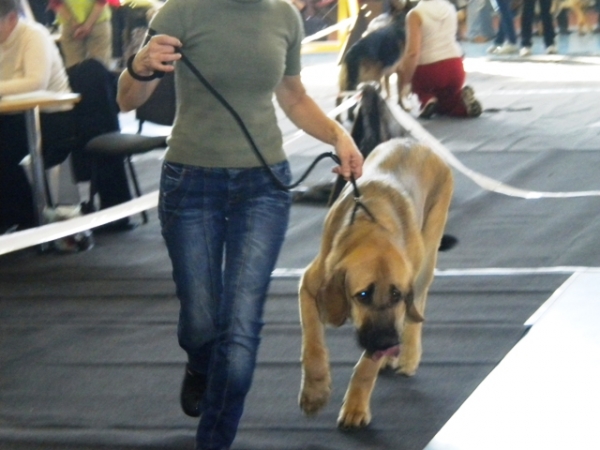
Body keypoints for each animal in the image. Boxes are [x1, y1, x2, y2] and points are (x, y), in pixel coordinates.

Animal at [298, 137, 452, 428]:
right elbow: (312, 343)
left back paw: (408, 355)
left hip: (427, 257)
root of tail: (413, 141)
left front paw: (356, 406)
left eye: (396, 295)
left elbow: (365, 367)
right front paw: (315, 391)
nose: (386, 342)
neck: (370, 227)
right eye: (363, 295)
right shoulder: (310, 286)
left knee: (418, 306)